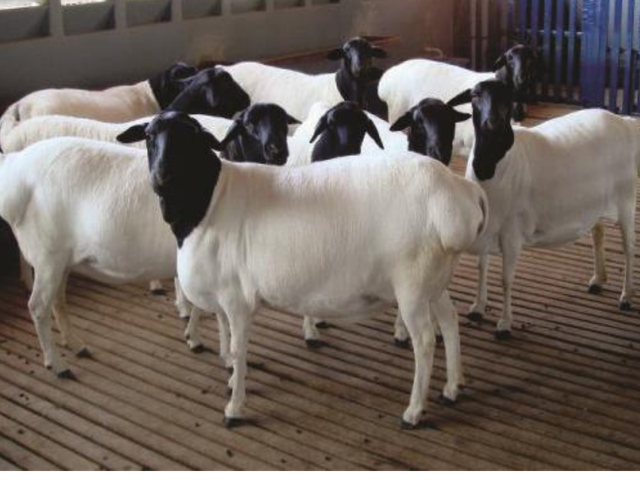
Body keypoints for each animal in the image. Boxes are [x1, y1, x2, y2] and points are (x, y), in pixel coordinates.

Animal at [0, 137, 223, 377]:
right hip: (46, 254)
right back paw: (58, 365)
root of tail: (13, 166)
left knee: (58, 301)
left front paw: (193, 337)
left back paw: (76, 345)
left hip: (61, 259)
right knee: (38, 307)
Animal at [119, 111, 488, 428]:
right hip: (434, 280)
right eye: (149, 136)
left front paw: (234, 408)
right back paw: (452, 388)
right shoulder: (223, 294)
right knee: (450, 321)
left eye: (190, 137)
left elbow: (238, 350)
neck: (207, 203)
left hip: (412, 284)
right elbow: (229, 344)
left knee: (424, 341)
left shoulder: (236, 299)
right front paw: (231, 383)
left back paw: (413, 412)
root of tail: (460, 192)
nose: (161, 176)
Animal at [448, 80, 640, 339]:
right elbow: (481, 267)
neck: (495, 164)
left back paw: (626, 297)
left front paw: (505, 324)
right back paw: (598, 280)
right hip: (594, 203)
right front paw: (477, 307)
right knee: (598, 234)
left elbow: (506, 280)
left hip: (626, 198)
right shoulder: (489, 226)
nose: (492, 122)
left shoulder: (511, 233)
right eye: (475, 95)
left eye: (506, 96)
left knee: (628, 248)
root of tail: (624, 122)